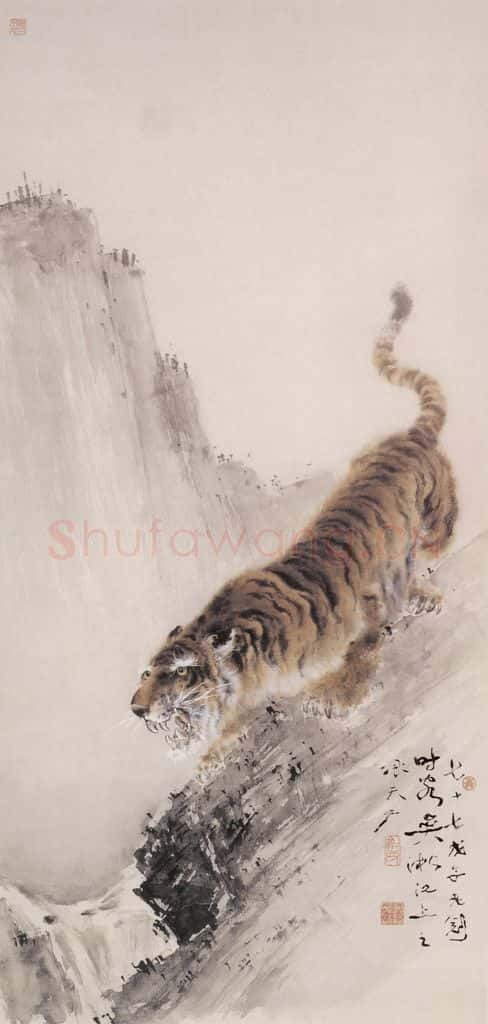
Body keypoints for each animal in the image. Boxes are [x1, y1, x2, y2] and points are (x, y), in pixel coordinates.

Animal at [130, 285, 457, 769]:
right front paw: (210, 760)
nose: (136, 708)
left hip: (437, 526)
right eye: (145, 672)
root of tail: (408, 436)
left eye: (176, 673)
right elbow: (230, 729)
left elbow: (361, 651)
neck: (248, 669)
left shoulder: (362, 612)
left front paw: (336, 697)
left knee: (431, 550)